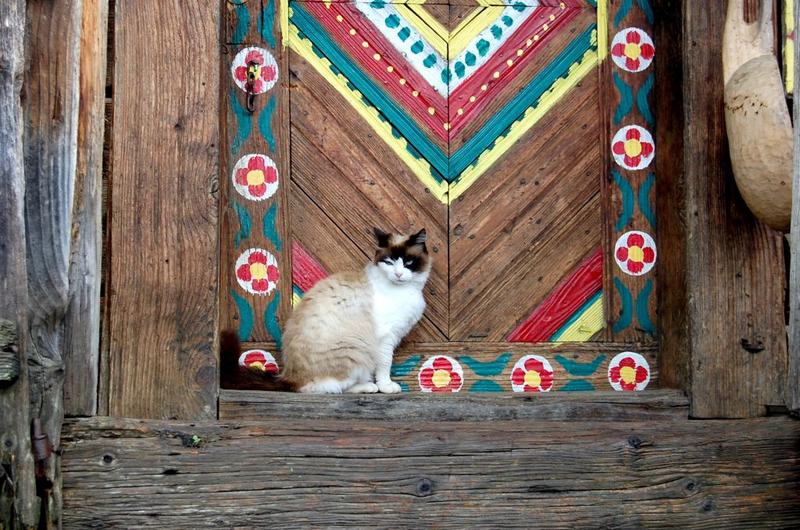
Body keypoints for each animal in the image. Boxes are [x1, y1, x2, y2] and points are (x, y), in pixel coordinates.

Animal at [219, 227, 432, 392]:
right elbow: (384, 366)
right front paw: (386, 387)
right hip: (356, 351)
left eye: (408, 263)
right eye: (389, 262)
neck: (406, 290)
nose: (398, 274)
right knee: (329, 387)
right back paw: (368, 387)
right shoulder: (385, 339)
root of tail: (288, 378)